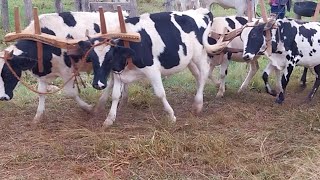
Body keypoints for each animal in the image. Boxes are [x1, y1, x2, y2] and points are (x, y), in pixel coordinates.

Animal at [76, 8, 224, 126]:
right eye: (91, 58)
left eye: (110, 57)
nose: (98, 84)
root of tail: (201, 11)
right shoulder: (118, 72)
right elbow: (115, 96)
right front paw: (109, 119)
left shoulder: (152, 70)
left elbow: (160, 93)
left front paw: (171, 115)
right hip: (189, 60)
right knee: (198, 76)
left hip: (200, 54)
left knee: (204, 72)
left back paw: (198, 104)